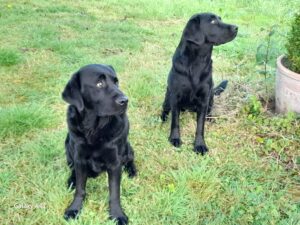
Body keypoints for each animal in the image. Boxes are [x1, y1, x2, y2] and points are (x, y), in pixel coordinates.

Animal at [62, 63, 137, 225]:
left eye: (116, 82)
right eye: (99, 84)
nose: (125, 100)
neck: (94, 128)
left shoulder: (115, 162)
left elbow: (114, 192)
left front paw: (117, 214)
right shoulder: (79, 158)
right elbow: (80, 188)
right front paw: (74, 208)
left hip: (127, 147)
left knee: (130, 159)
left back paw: (132, 171)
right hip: (68, 145)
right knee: (72, 169)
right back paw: (71, 180)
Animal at [161, 12, 238, 155]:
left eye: (220, 19)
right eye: (213, 21)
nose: (236, 27)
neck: (198, 61)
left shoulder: (204, 99)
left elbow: (200, 126)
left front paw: (200, 145)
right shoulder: (175, 96)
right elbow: (175, 121)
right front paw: (174, 138)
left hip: (211, 97)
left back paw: (210, 118)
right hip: (168, 96)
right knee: (165, 109)